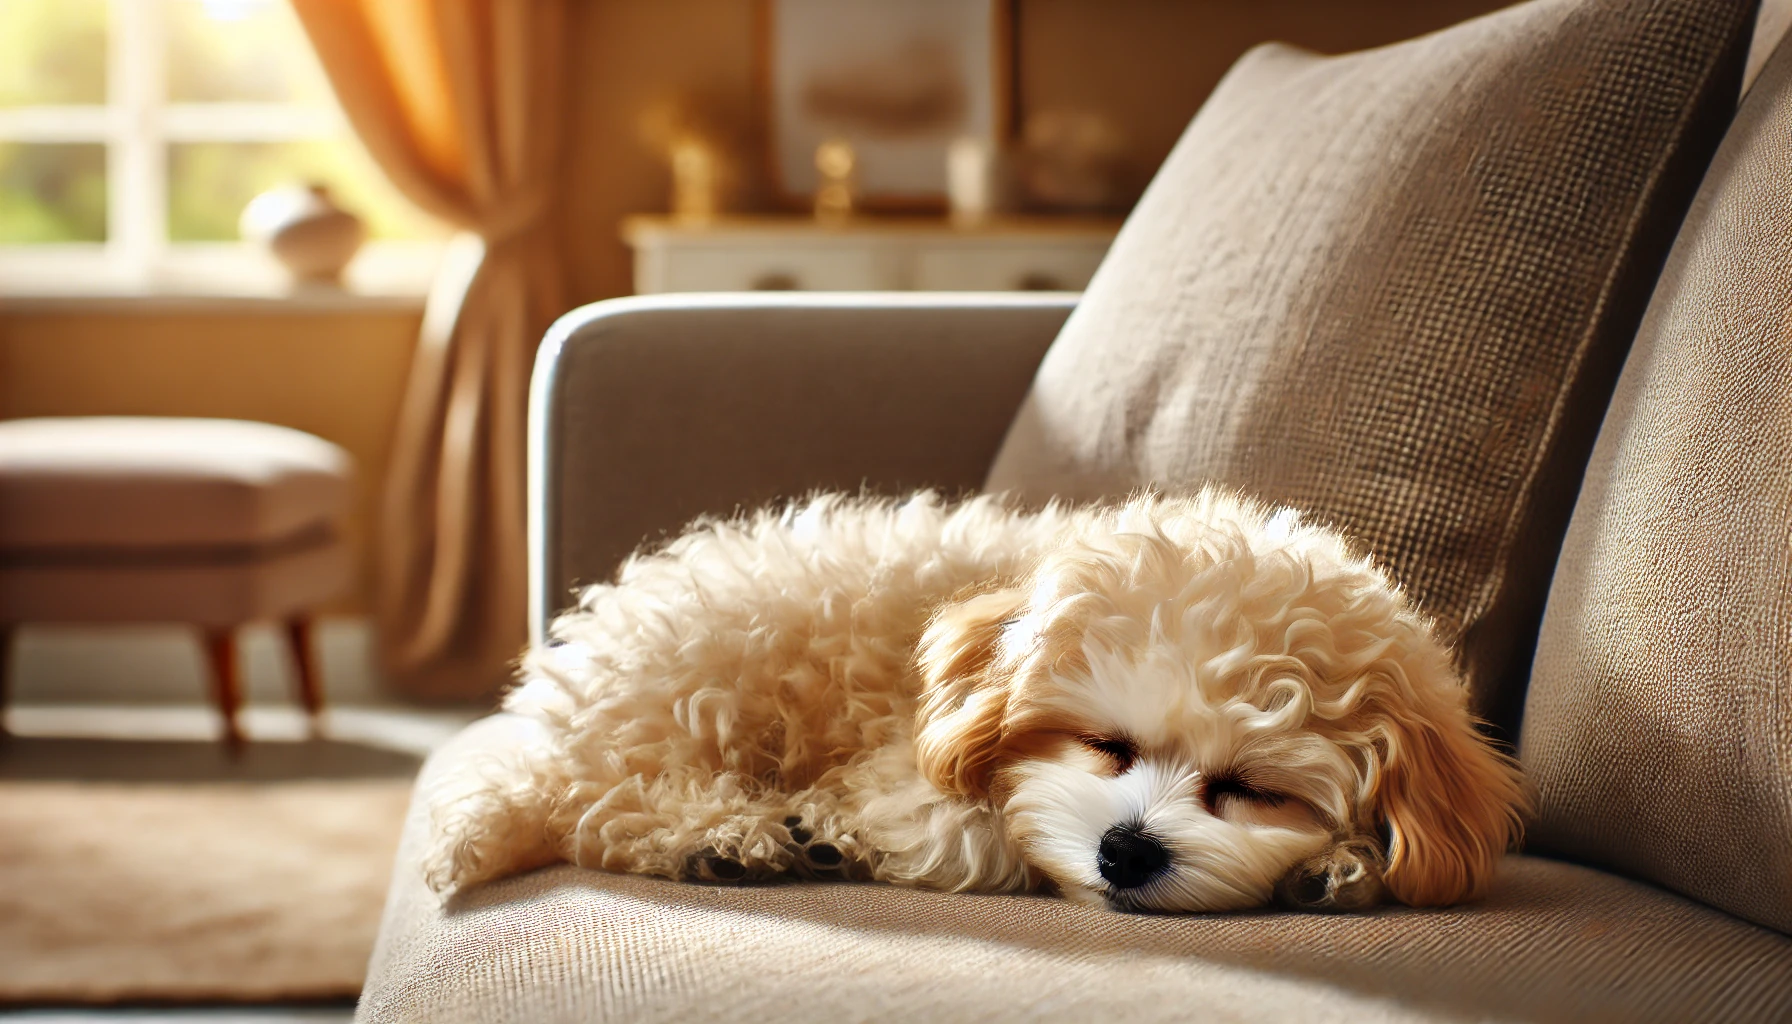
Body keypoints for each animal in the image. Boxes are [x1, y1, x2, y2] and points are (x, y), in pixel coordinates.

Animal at [422, 487, 1526, 914]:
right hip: (693, 694)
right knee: (596, 803)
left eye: (1252, 788)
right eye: (1105, 743)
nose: (1127, 853)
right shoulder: (902, 776)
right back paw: (733, 837)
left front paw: (1337, 867)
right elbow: (979, 830)